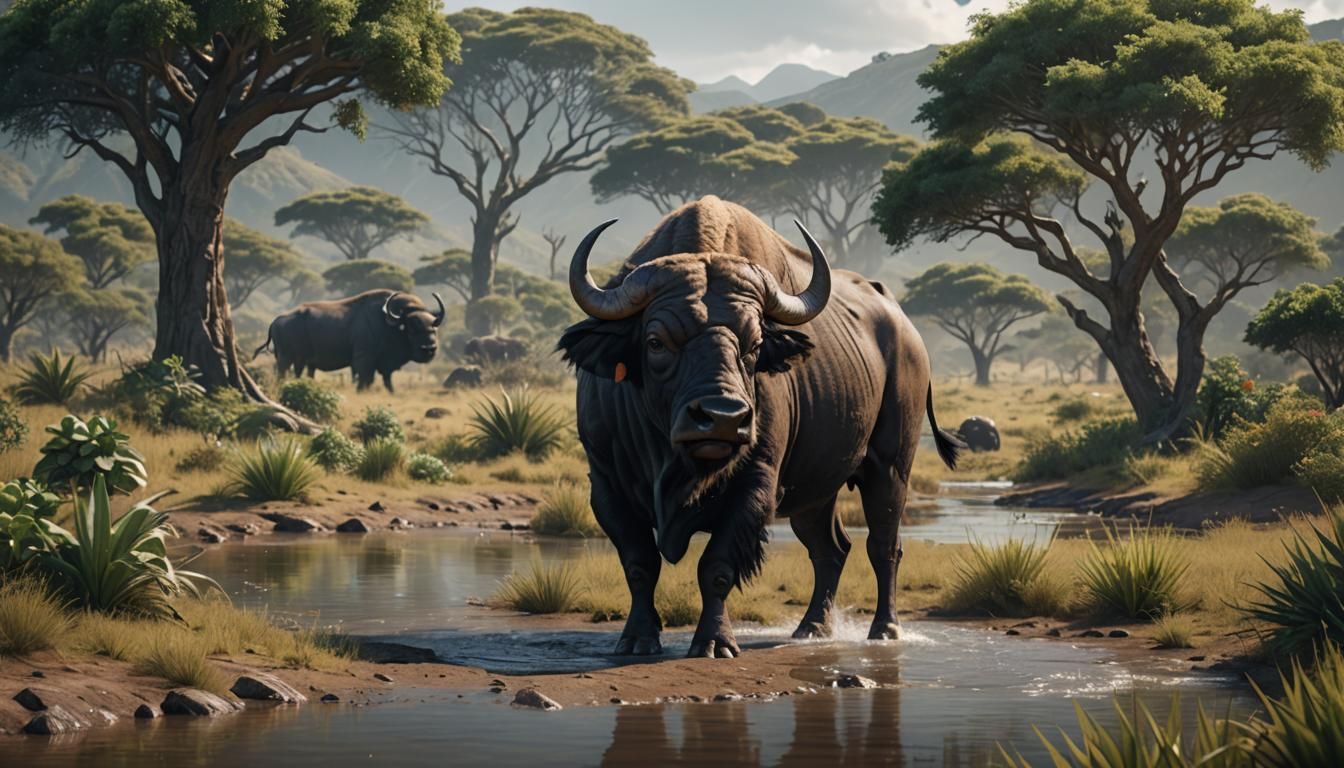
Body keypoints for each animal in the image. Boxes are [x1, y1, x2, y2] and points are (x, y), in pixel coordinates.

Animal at [254, 289, 445, 392]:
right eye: (411, 328)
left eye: (434, 327)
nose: (429, 348)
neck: (389, 322)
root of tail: (276, 321)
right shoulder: (364, 360)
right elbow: (365, 380)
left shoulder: (384, 366)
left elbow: (387, 381)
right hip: (286, 359)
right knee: (281, 374)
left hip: (299, 361)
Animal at [558, 197, 963, 658]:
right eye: (656, 342)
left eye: (753, 345)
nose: (723, 417)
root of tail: (906, 330)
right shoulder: (607, 487)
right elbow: (640, 564)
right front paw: (638, 638)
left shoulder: (756, 484)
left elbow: (715, 567)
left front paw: (715, 641)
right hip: (814, 491)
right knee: (830, 549)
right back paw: (812, 627)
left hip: (890, 467)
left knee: (883, 546)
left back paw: (885, 628)